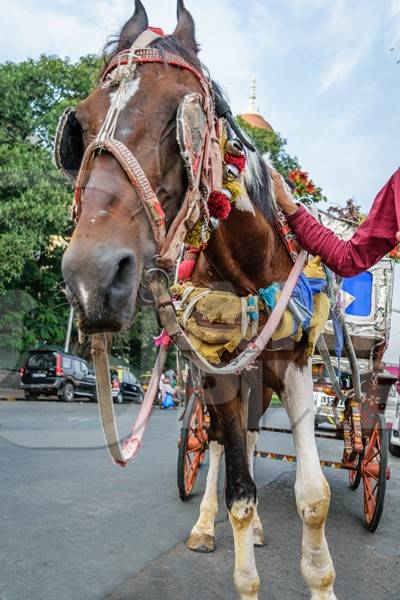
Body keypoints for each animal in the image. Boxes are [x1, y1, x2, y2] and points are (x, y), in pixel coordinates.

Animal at [61, 2, 338, 596]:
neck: (250, 272)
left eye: (179, 118)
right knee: (217, 449)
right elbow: (237, 488)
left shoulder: (296, 365)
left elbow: (313, 496)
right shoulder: (219, 374)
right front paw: (239, 558)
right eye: (82, 125)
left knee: (253, 442)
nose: (92, 276)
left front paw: (321, 580)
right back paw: (208, 525)